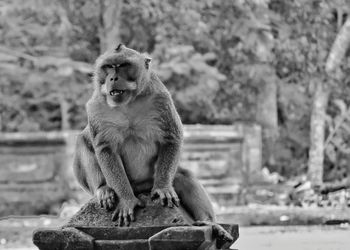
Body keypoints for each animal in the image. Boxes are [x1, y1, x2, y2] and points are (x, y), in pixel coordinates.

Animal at [72, 44, 232, 243]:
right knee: (82, 141)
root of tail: (141, 189)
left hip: (151, 183)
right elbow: (105, 148)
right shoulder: (96, 107)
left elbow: (171, 137)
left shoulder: (161, 98)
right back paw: (104, 189)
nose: (113, 78)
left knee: (182, 176)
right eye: (108, 67)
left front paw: (163, 188)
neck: (128, 103)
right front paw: (126, 200)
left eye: (123, 65)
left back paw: (209, 222)